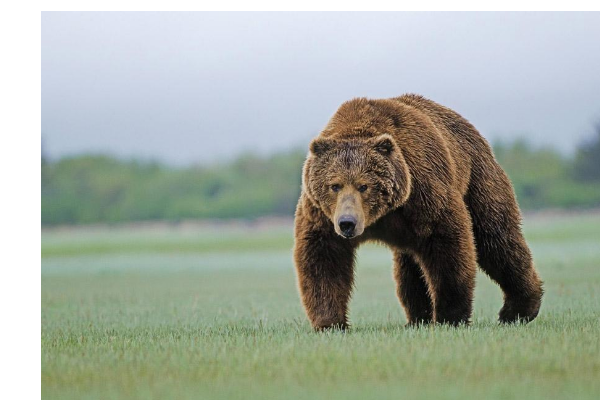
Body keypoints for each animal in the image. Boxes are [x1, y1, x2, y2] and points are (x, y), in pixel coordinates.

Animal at [294, 94, 544, 328]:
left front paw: (450, 316)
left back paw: (519, 309)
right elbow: (324, 257)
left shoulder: (423, 192)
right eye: (334, 185)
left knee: (496, 239)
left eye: (363, 185)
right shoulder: (322, 214)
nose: (347, 223)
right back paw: (418, 318)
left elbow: (448, 245)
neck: (381, 216)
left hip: (478, 180)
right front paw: (330, 322)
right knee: (410, 268)